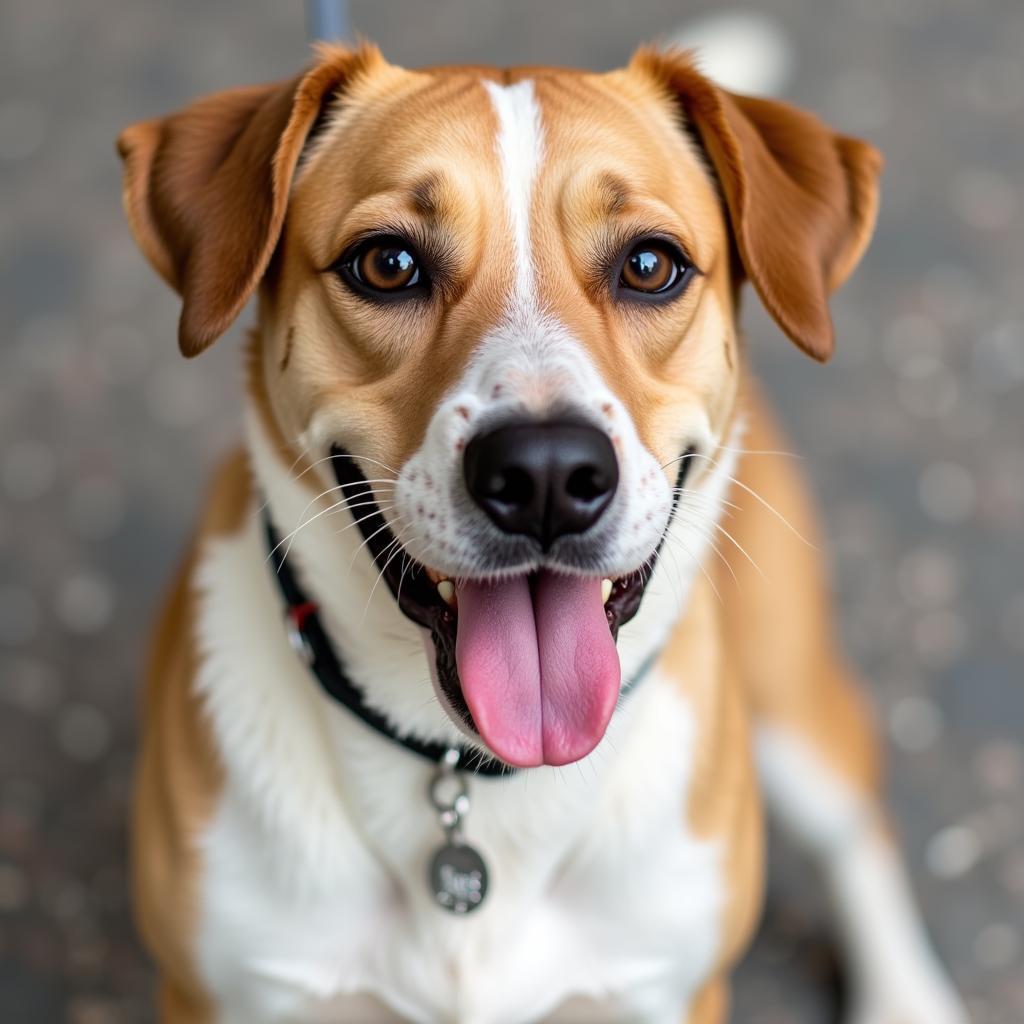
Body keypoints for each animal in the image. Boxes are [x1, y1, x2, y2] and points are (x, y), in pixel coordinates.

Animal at [117, 39, 966, 1024]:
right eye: (387, 264)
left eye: (650, 265)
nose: (547, 476)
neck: (475, 779)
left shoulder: (670, 988)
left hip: (788, 694)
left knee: (856, 815)